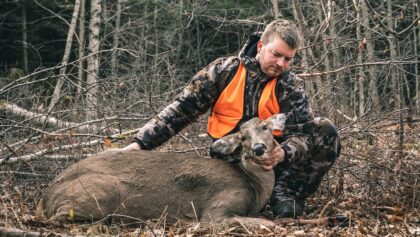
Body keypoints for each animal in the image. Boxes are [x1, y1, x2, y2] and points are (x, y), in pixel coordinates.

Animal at [39, 115, 284, 226]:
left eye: (265, 127)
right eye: (242, 137)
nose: (259, 148)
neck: (254, 187)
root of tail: (47, 196)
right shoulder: (218, 208)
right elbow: (264, 222)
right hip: (98, 194)